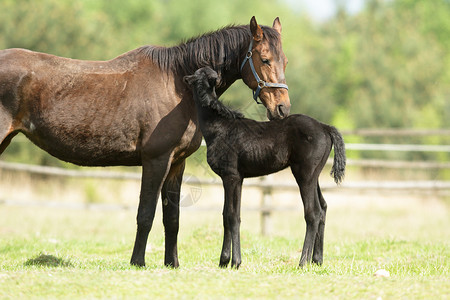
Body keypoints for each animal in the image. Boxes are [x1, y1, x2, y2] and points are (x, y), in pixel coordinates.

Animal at [185, 67, 346, 268]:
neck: (219, 127)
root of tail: (325, 127)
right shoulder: (236, 179)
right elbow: (227, 215)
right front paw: (224, 261)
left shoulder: (231, 177)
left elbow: (232, 216)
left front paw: (235, 262)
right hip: (314, 176)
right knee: (323, 207)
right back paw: (317, 260)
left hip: (305, 175)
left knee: (313, 213)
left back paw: (302, 262)